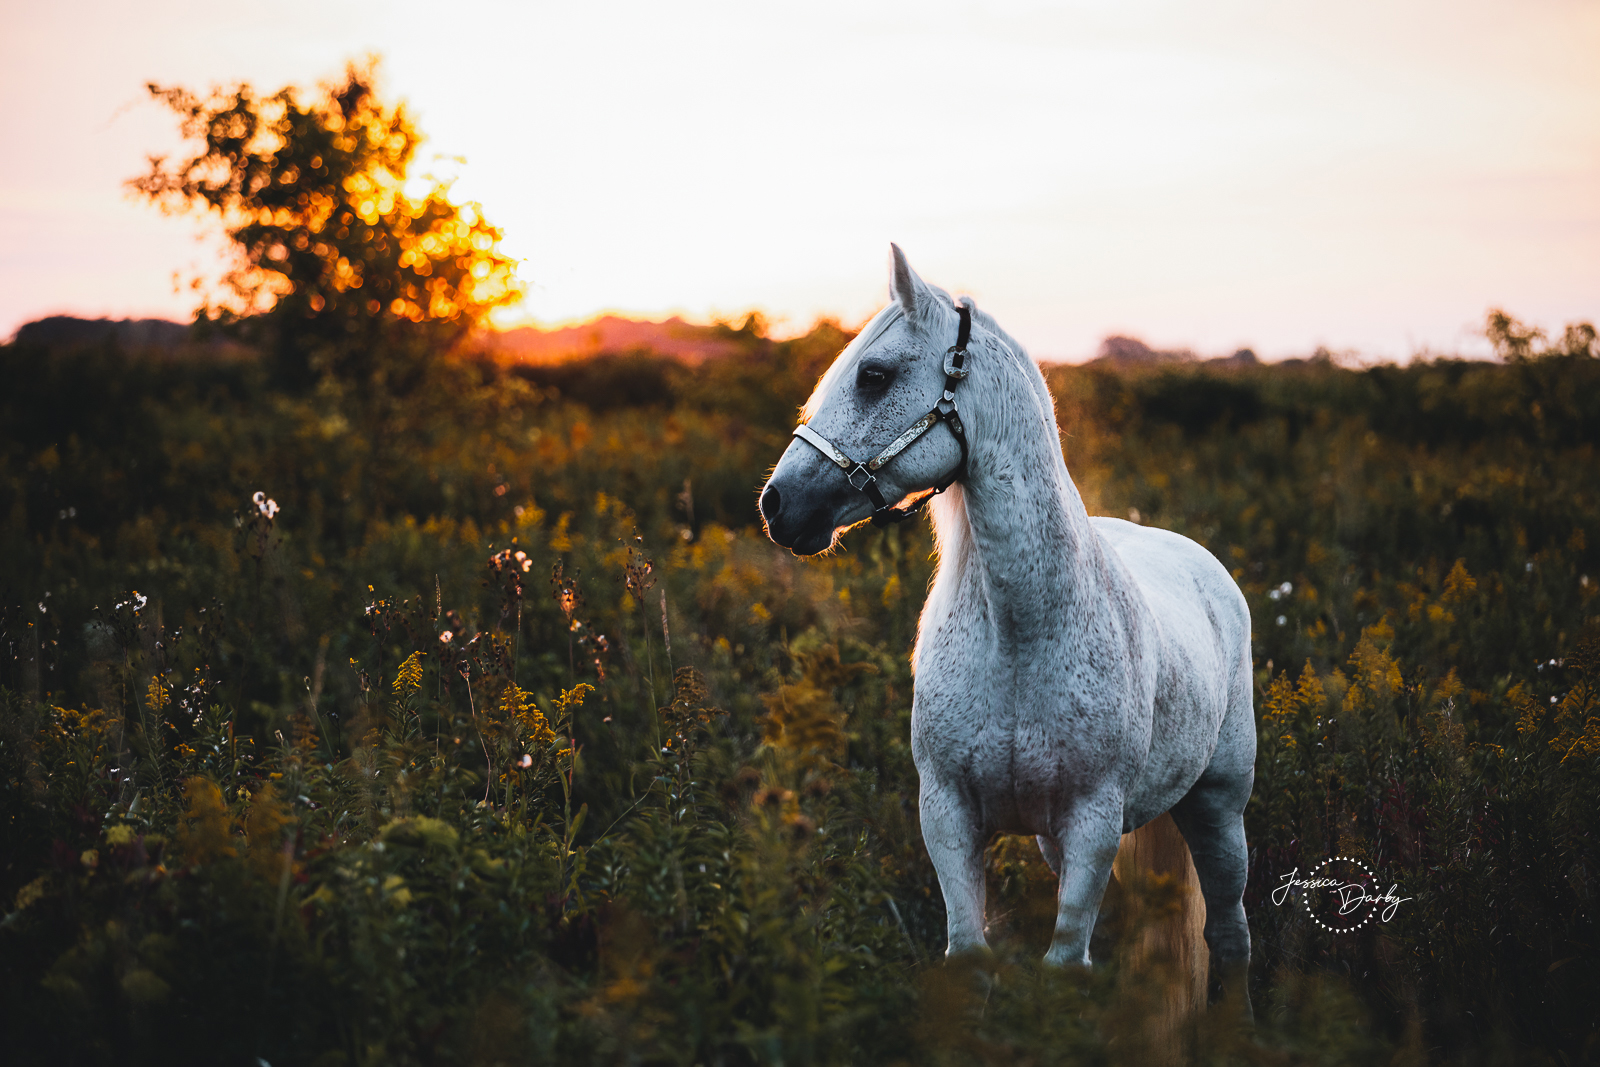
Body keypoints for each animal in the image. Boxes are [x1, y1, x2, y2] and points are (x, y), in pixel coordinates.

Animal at [755, 244, 1254, 1011]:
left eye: (874, 375)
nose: (777, 505)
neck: (1018, 636)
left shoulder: (1092, 823)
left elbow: (1066, 966)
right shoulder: (949, 814)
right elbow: (969, 956)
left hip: (1220, 808)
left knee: (1231, 934)